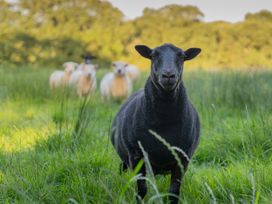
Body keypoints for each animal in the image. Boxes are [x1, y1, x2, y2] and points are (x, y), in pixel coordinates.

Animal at [110, 43, 202, 204]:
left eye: (182, 56)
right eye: (153, 55)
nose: (168, 75)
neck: (163, 124)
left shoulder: (182, 159)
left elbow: (173, 193)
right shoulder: (137, 156)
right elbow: (142, 190)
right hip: (126, 157)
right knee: (122, 169)